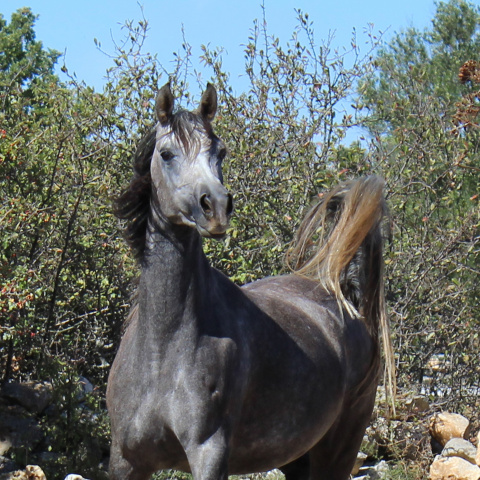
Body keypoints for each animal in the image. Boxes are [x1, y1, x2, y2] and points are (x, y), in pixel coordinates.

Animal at [106, 83, 394, 480]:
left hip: (339, 448)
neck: (161, 350)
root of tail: (346, 299)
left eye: (220, 151)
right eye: (166, 154)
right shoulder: (125, 460)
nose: (215, 207)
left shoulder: (209, 454)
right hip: (297, 457)